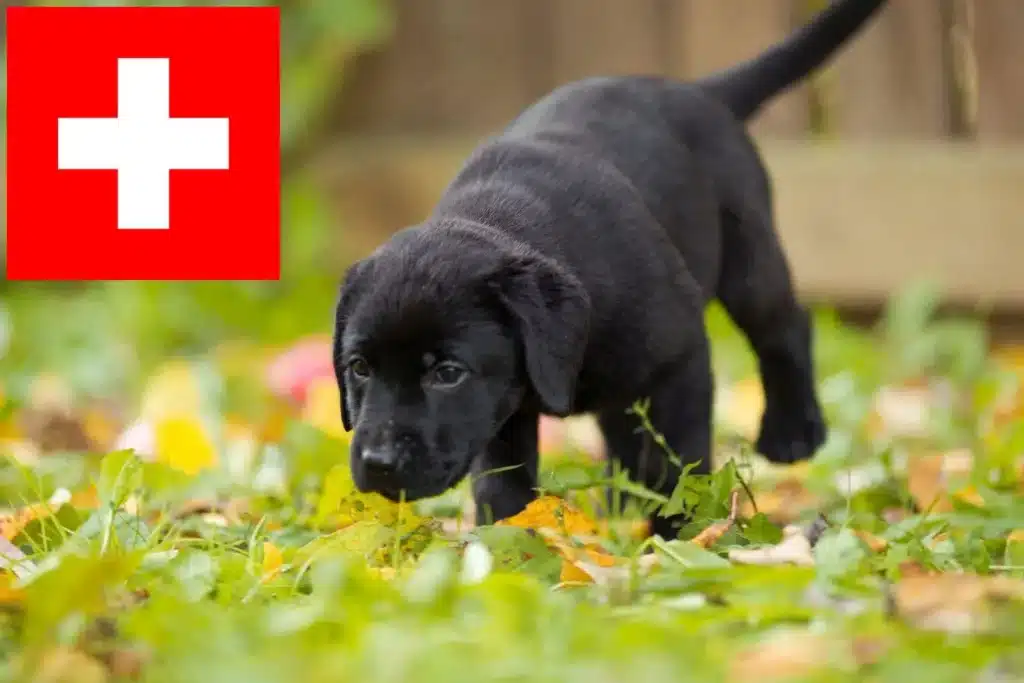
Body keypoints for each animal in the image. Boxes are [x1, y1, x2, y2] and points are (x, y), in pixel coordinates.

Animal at [333, 0, 888, 540]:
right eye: (358, 367)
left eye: (448, 374)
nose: (378, 463)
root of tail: (698, 91)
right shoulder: (503, 408)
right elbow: (502, 479)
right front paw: (509, 544)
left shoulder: (681, 362)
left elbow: (677, 464)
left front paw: (678, 537)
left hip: (747, 255)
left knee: (783, 326)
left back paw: (792, 430)